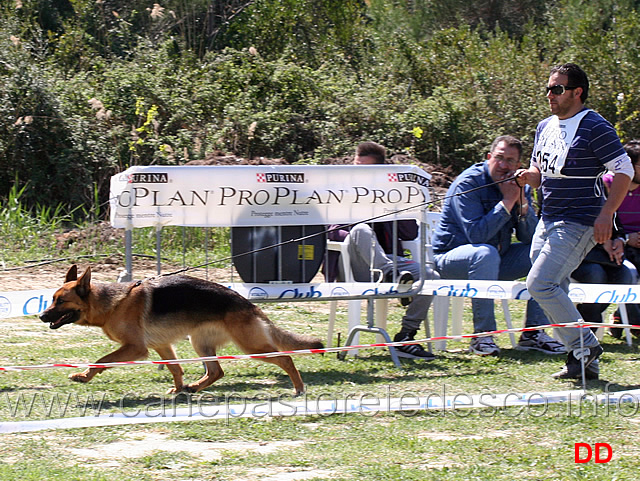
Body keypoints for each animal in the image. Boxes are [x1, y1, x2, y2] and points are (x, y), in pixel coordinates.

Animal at [40, 266, 322, 394]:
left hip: (251, 347)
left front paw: (83, 376)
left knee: (285, 358)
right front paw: (177, 389)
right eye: (52, 299)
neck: (111, 303)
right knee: (216, 371)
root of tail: (247, 303)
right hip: (201, 344)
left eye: (61, 301)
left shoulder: (135, 348)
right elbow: (176, 368)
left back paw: (299, 388)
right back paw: (194, 387)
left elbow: (101, 360)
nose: (41, 316)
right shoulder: (161, 346)